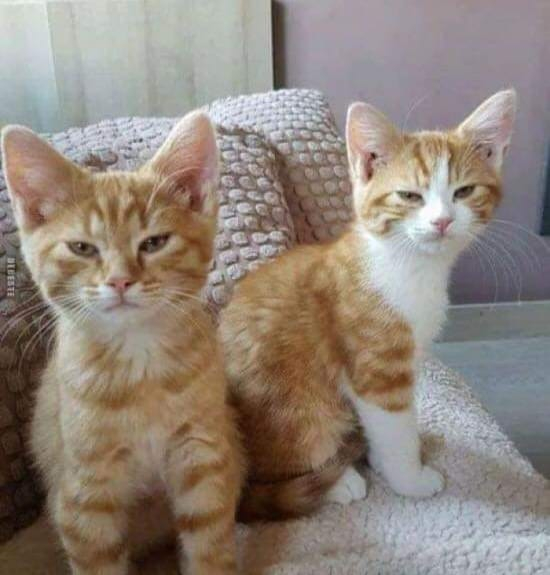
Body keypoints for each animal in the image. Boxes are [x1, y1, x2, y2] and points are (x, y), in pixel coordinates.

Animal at [1, 111, 244, 575]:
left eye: (154, 242)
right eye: (82, 248)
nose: (119, 280)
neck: (140, 365)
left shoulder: (203, 457)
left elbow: (209, 541)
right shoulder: (84, 496)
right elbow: (98, 560)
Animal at [219, 90, 516, 520]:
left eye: (464, 192)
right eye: (409, 196)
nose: (442, 221)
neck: (410, 266)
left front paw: (385, 457)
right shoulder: (377, 369)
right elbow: (394, 427)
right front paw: (409, 478)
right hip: (297, 414)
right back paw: (337, 481)